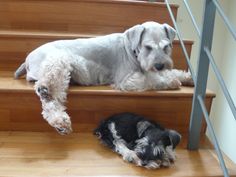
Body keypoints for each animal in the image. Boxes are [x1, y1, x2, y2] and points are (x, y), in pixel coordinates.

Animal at [14, 21, 192, 136]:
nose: (160, 65)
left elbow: (167, 72)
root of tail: (27, 59)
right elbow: (151, 79)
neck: (132, 49)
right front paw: (172, 82)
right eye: (147, 47)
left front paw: (187, 77)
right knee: (47, 95)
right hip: (58, 63)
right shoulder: (127, 80)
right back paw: (58, 118)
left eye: (166, 46)